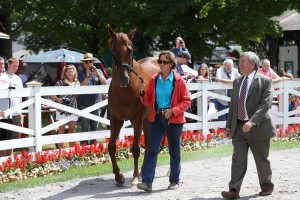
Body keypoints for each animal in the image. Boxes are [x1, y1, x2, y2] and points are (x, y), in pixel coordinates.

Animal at [107, 27, 161, 186]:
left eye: (130, 50)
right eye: (114, 50)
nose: (124, 79)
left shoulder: (136, 119)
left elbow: (136, 148)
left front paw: (136, 176)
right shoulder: (116, 119)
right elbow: (111, 147)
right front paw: (118, 176)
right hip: (148, 121)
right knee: (149, 145)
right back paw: (144, 171)